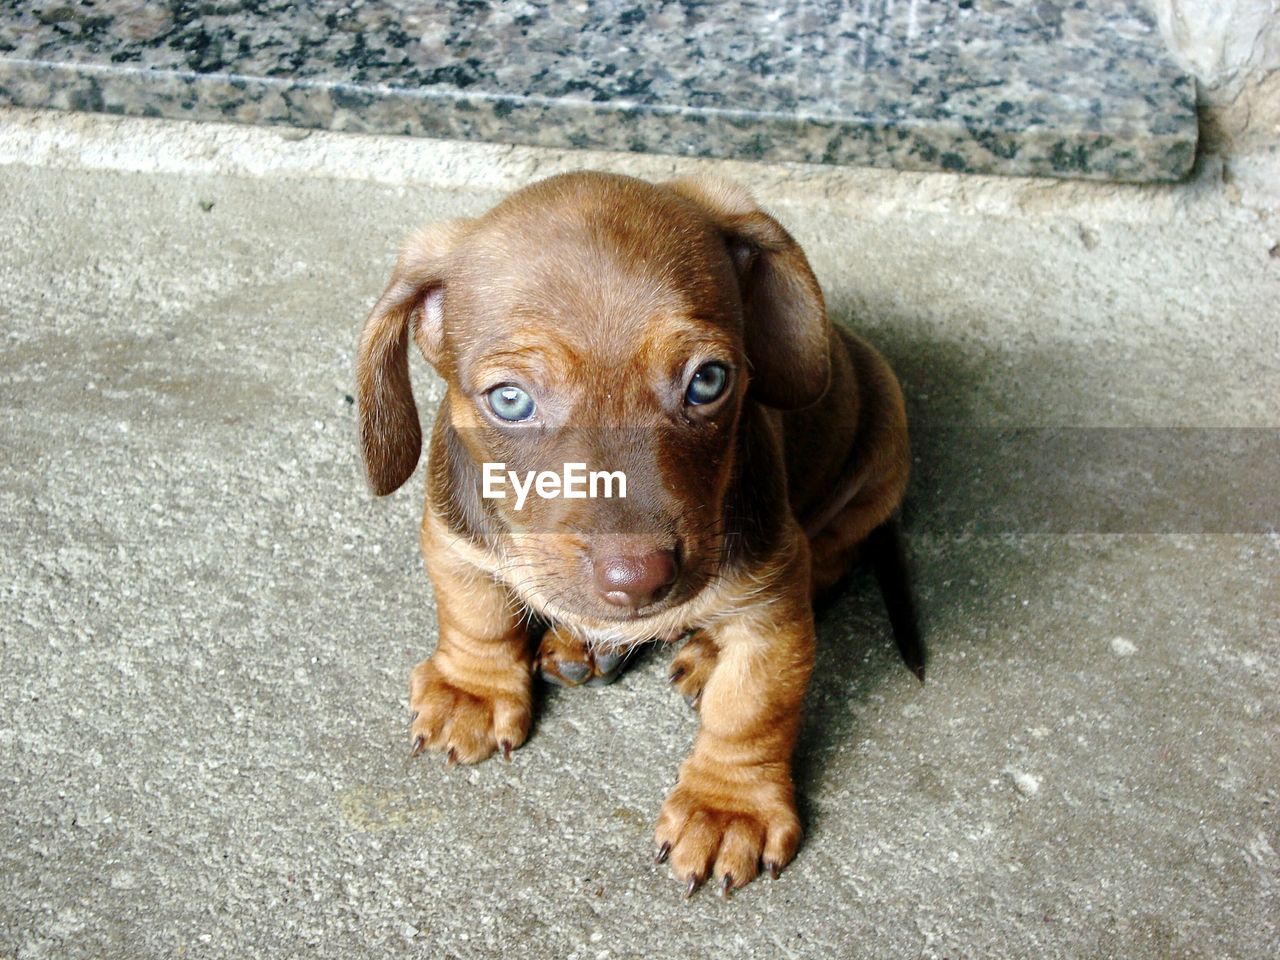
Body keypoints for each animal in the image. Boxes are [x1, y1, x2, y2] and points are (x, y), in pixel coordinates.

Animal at [358, 171, 921, 896]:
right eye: (510, 400)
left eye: (708, 381)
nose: (640, 579)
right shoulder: (455, 538)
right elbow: (476, 613)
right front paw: (473, 689)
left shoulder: (773, 604)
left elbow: (751, 709)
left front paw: (728, 805)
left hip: (873, 472)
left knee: (831, 565)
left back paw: (700, 651)